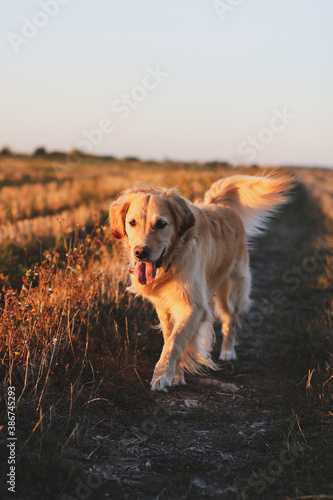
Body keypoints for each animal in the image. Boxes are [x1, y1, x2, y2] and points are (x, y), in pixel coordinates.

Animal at [109, 175, 290, 390]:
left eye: (161, 224)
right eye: (132, 222)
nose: (140, 252)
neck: (173, 260)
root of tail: (222, 206)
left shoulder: (194, 306)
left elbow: (175, 342)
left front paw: (162, 375)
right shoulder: (164, 306)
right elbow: (171, 337)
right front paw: (176, 375)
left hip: (231, 291)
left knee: (230, 321)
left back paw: (228, 352)